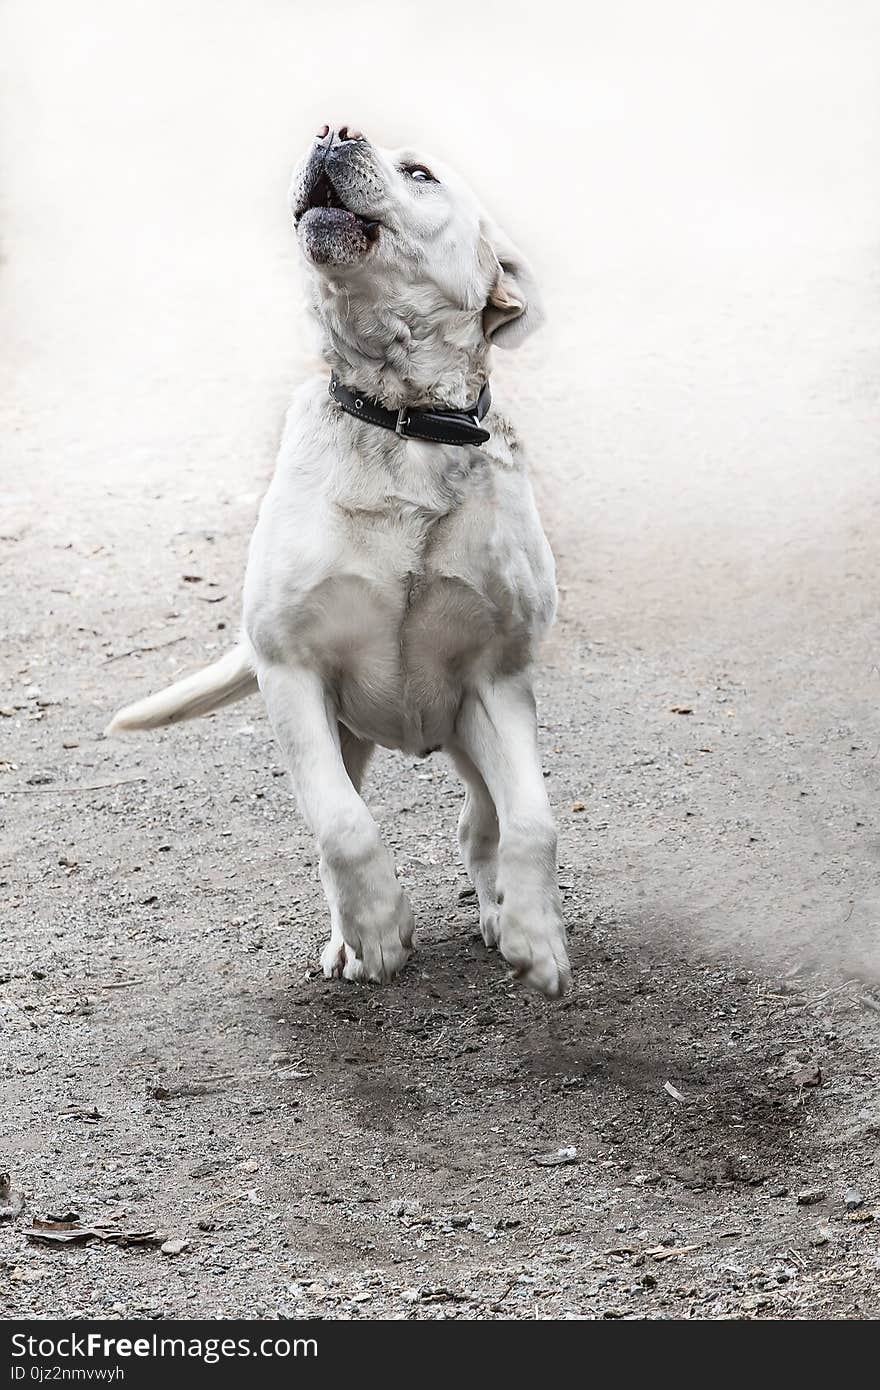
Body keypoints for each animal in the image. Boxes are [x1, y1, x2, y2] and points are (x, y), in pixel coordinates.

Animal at [106, 127, 569, 1000]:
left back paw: (497, 911)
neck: (404, 421)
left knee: (480, 819)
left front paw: (536, 936)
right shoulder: (292, 672)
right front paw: (381, 931)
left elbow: (534, 819)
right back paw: (352, 940)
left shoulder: (499, 678)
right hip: (345, 736)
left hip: (468, 728)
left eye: (420, 172)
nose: (331, 131)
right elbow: (342, 827)